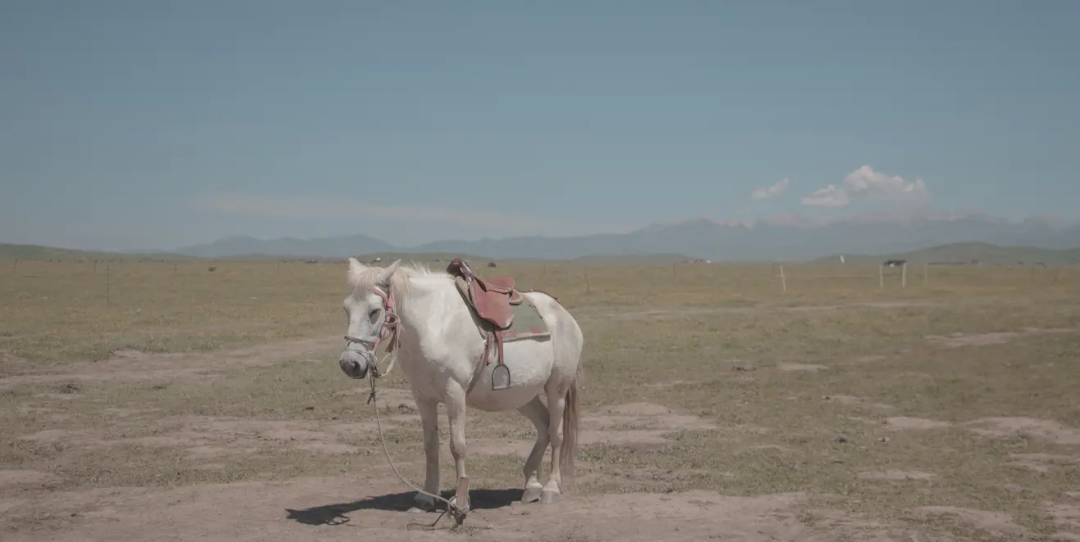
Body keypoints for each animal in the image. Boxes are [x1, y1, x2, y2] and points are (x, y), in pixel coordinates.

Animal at [339, 258, 587, 511]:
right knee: (543, 426)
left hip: (557, 388)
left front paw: (460, 501)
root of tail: (563, 315)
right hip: (523, 395)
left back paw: (551, 488)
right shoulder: (422, 397)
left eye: (374, 311)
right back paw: (531, 486)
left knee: (556, 433)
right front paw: (426, 497)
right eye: (346, 309)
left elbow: (457, 446)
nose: (350, 364)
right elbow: (430, 447)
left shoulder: (454, 394)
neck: (433, 324)